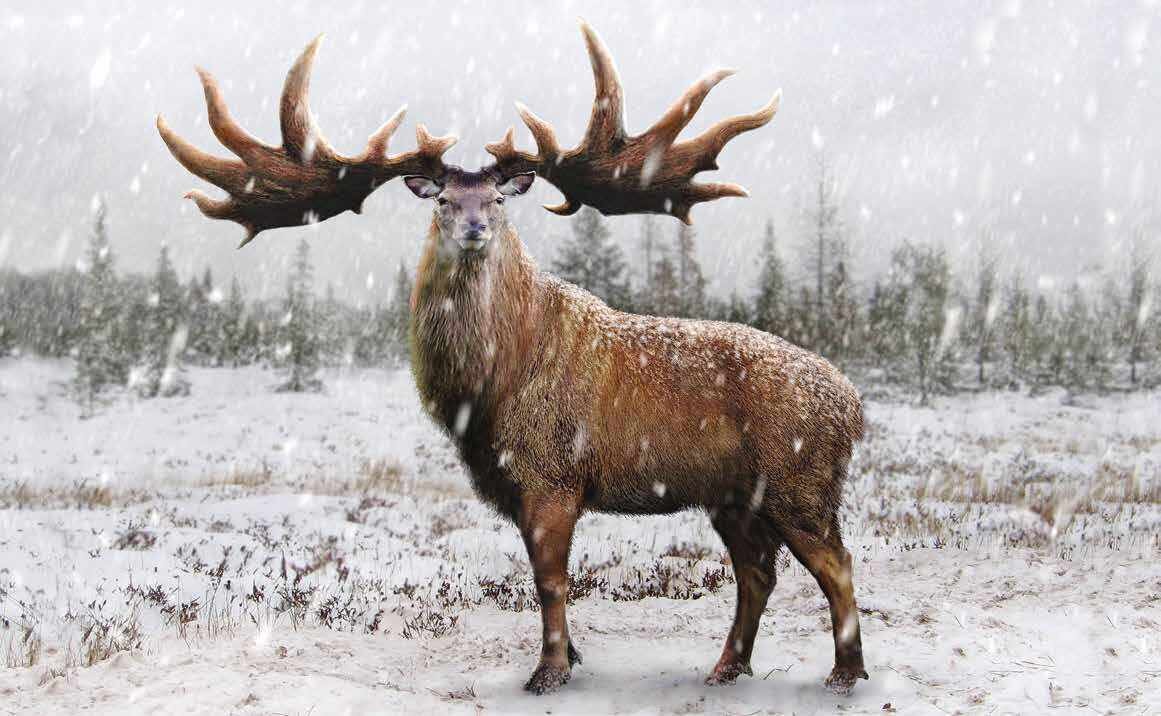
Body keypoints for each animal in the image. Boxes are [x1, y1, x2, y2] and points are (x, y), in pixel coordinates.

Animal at [161, 23, 873, 696]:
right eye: (443, 199)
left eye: (499, 199)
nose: (475, 226)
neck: (485, 395)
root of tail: (853, 403)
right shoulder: (508, 483)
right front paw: (572, 658)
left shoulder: (552, 475)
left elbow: (550, 582)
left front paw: (550, 671)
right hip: (733, 497)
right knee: (758, 570)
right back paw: (729, 667)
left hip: (800, 479)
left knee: (835, 564)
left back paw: (845, 673)